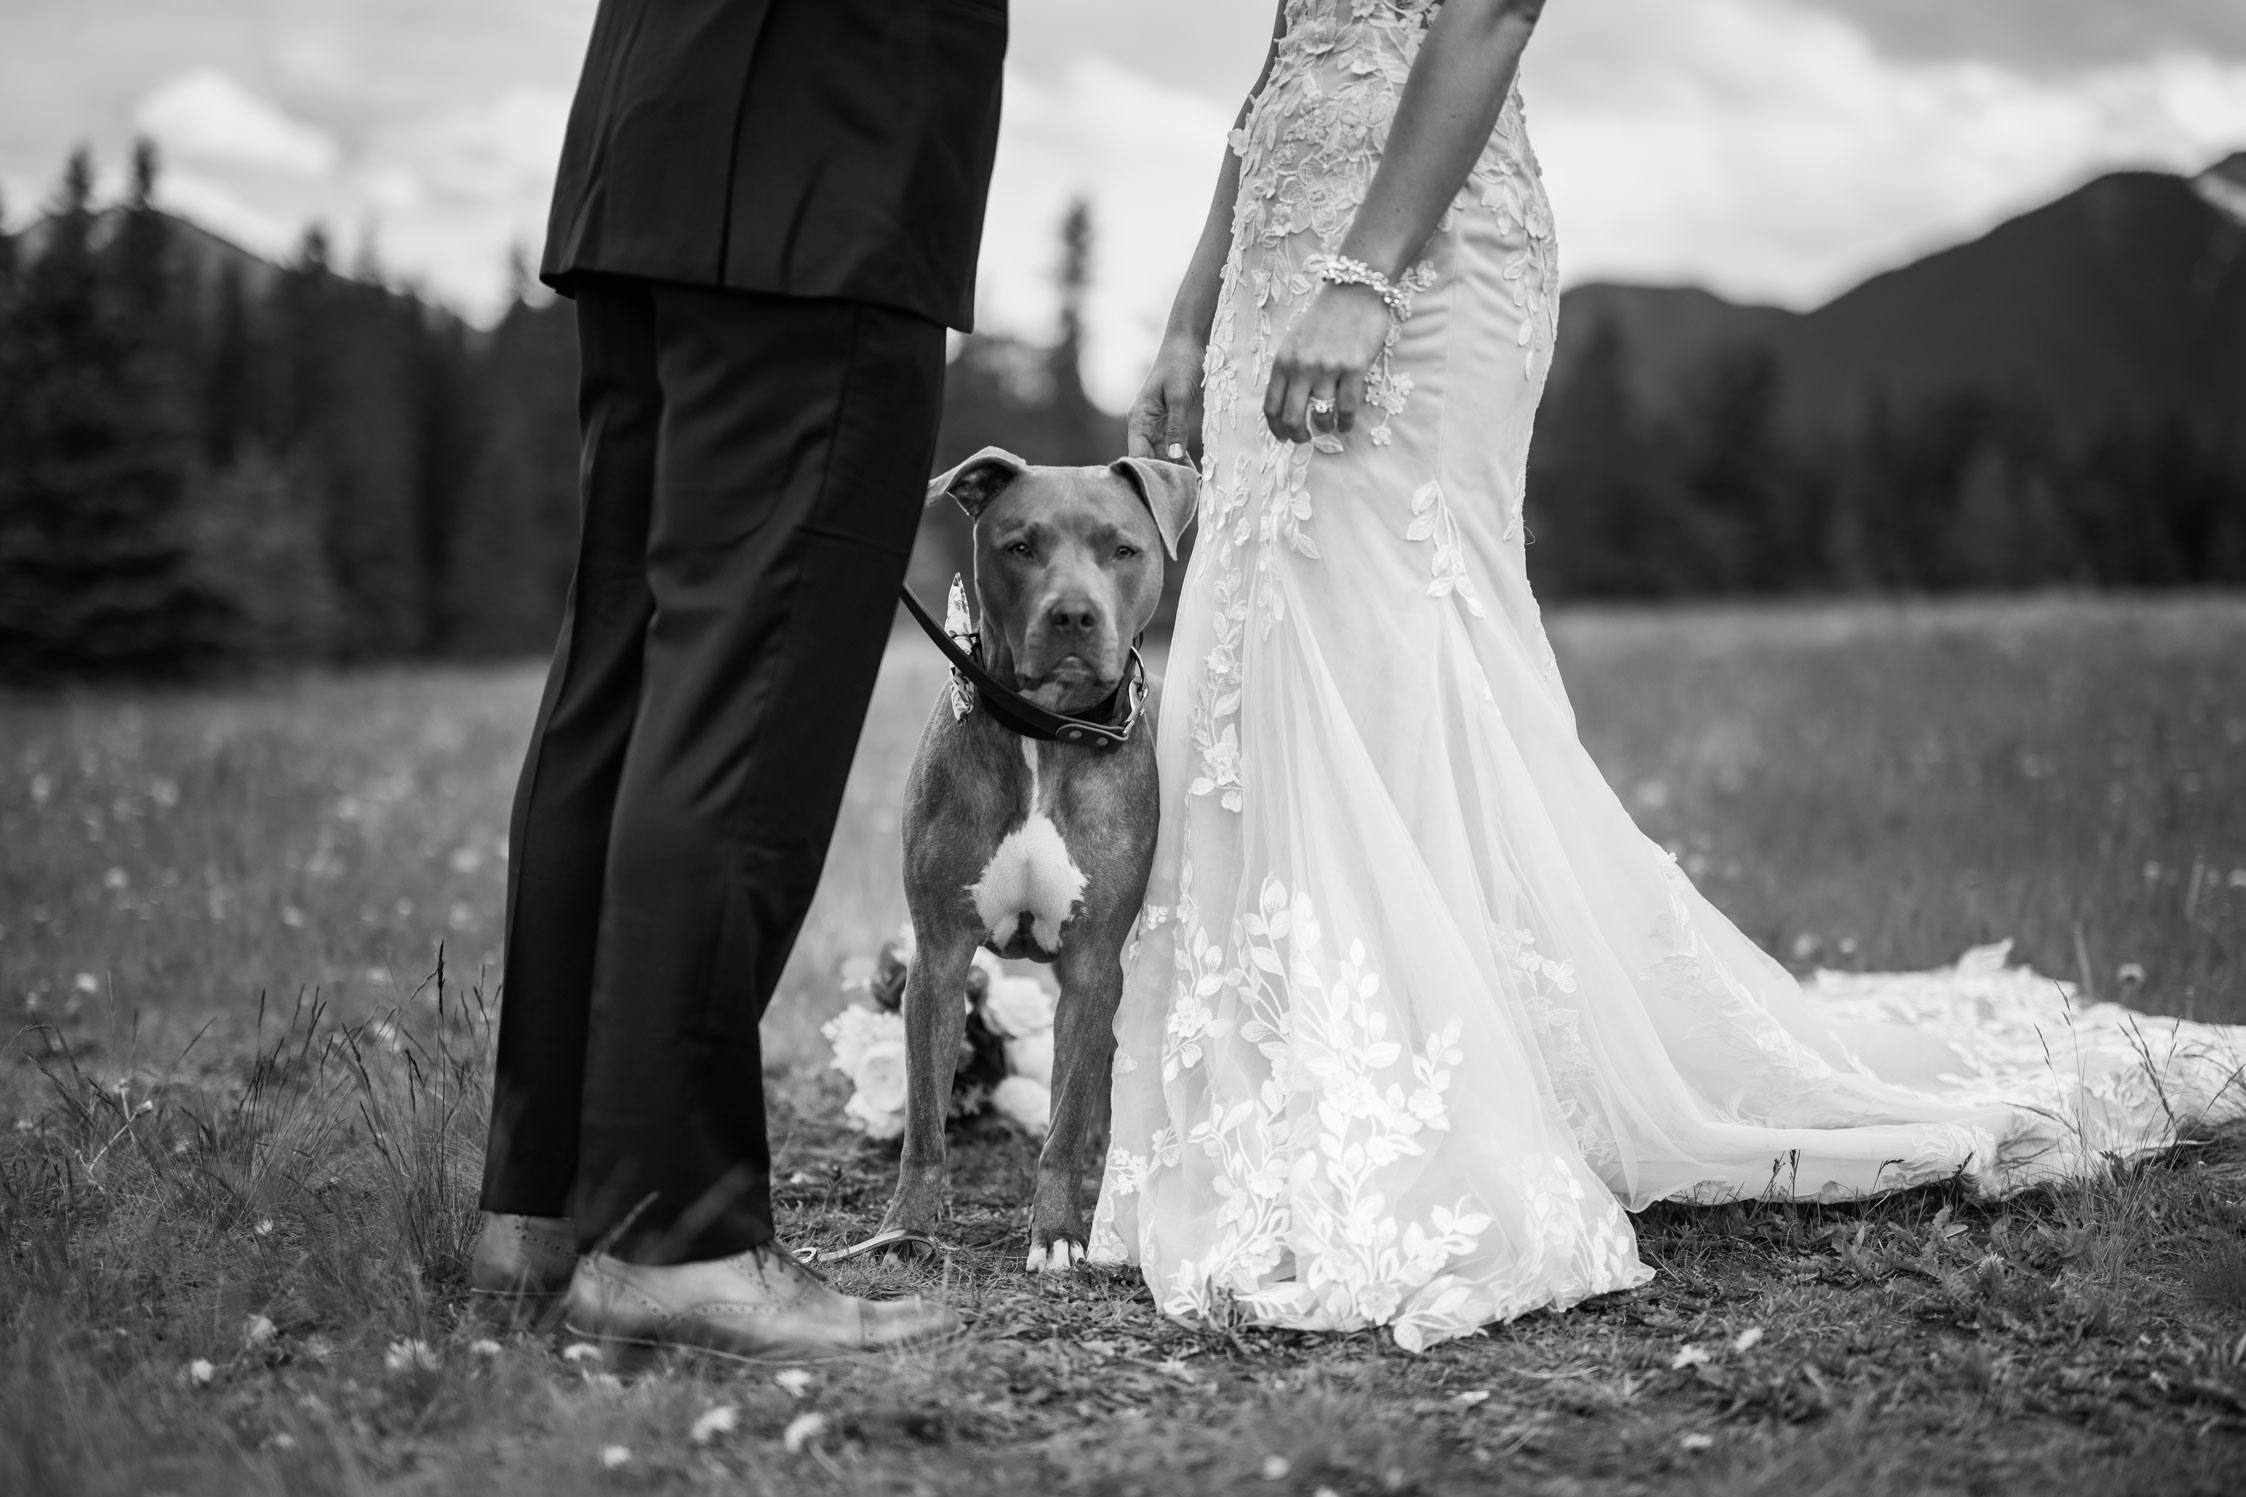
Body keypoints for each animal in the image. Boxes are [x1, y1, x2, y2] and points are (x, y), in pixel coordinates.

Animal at [871, 448, 1194, 1274]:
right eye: (1020, 545)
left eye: (1123, 549)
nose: (1073, 614)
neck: (1045, 733)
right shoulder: (940, 956)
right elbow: (925, 1118)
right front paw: (907, 1224)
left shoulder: (1091, 967)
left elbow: (1065, 1117)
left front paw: (1056, 1231)